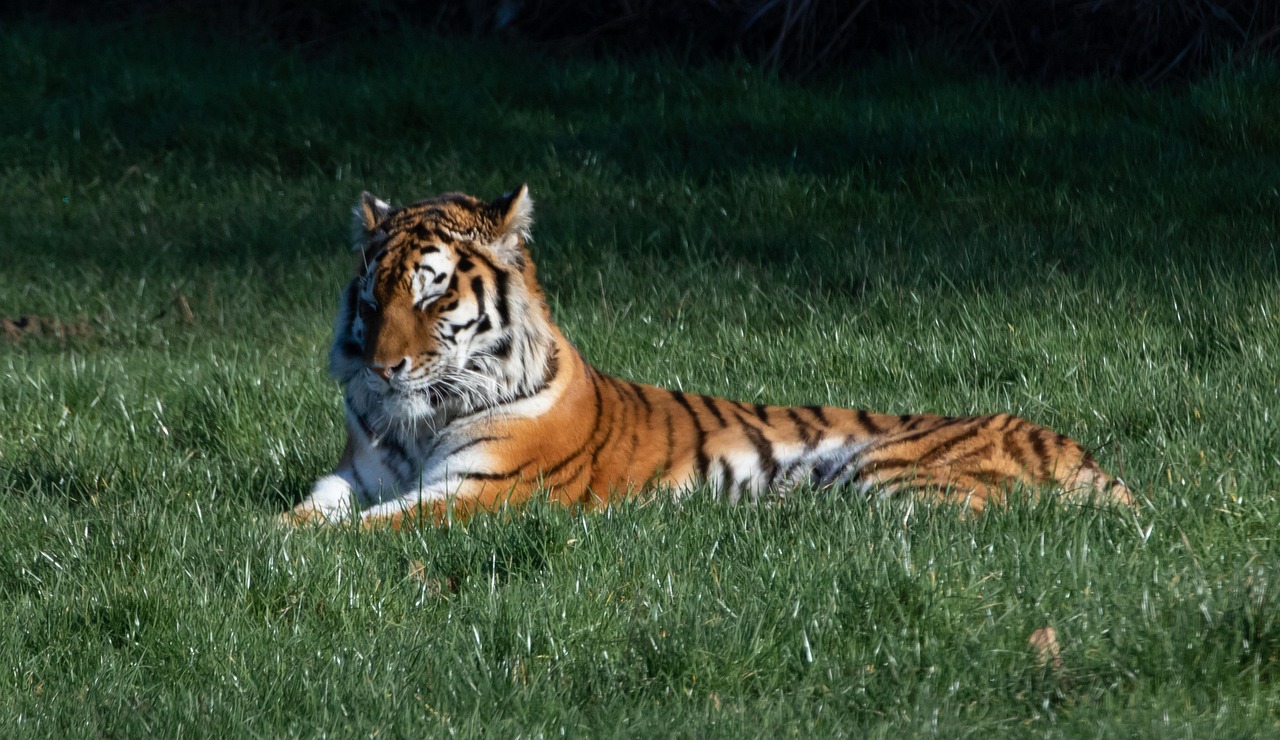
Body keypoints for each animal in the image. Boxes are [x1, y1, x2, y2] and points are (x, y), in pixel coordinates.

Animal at [283, 185, 1134, 527]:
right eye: (374, 298)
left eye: (431, 297)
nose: (382, 369)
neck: (419, 419)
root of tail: (1082, 452)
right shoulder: (359, 471)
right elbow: (315, 505)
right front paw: (273, 529)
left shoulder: (479, 492)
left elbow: (366, 531)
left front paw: (291, 548)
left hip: (893, 473)